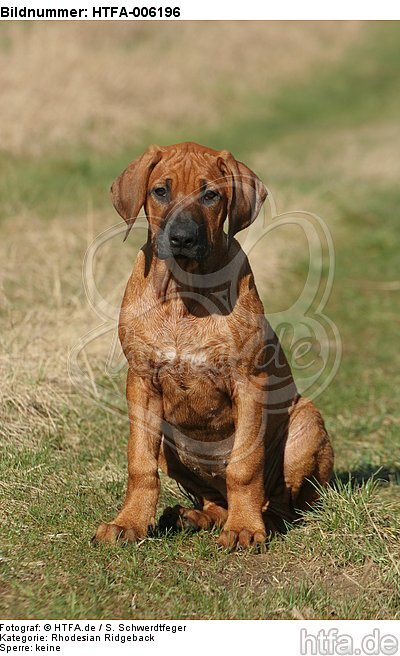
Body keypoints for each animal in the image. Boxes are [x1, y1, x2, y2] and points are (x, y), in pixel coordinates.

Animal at [94, 142, 334, 548]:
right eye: (160, 191)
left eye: (211, 196)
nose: (182, 238)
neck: (183, 292)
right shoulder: (141, 381)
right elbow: (139, 464)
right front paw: (128, 522)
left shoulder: (249, 381)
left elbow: (244, 467)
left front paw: (245, 529)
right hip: (171, 447)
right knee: (213, 500)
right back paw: (192, 517)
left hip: (306, 423)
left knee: (280, 501)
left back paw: (259, 522)